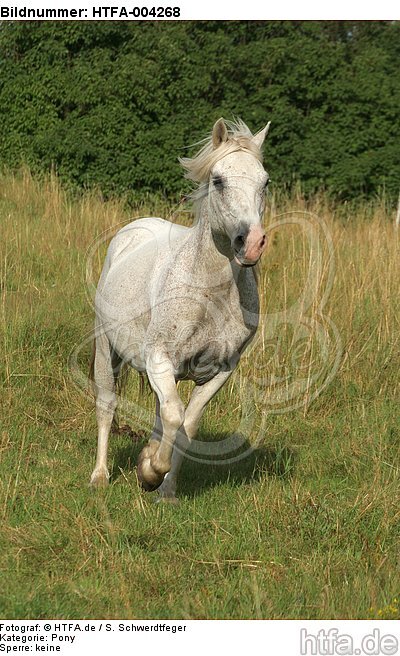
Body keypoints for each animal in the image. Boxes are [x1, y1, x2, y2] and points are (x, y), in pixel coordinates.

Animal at [90, 117, 271, 502]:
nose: (250, 243)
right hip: (107, 351)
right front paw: (150, 471)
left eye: (265, 181)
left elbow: (187, 424)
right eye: (218, 180)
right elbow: (173, 415)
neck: (211, 295)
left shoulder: (220, 369)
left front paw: (165, 489)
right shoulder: (159, 356)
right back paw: (99, 477)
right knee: (107, 405)